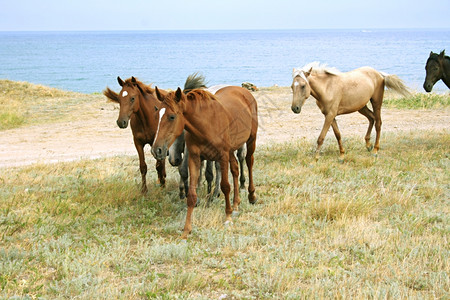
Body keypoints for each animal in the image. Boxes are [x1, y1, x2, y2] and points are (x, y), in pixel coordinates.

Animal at [151, 86, 258, 239]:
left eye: (172, 116)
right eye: (157, 116)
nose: (157, 150)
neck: (206, 124)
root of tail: (242, 90)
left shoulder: (222, 156)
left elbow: (225, 186)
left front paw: (227, 217)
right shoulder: (195, 159)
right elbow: (191, 194)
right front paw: (186, 230)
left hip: (251, 140)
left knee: (249, 162)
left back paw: (251, 196)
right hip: (231, 150)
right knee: (236, 169)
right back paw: (236, 205)